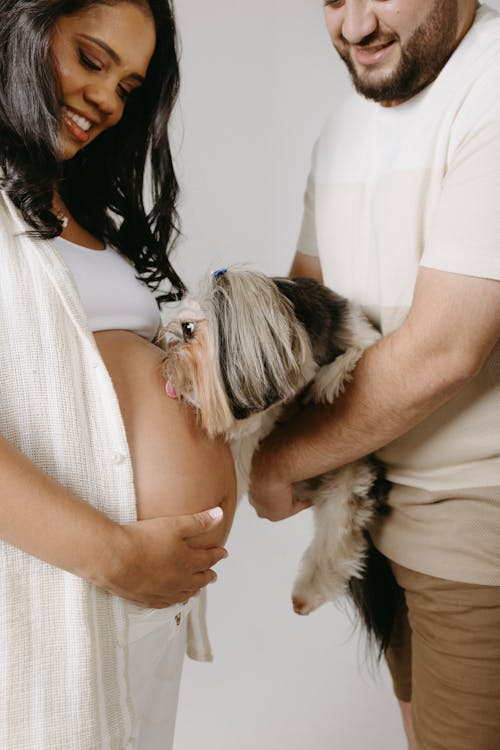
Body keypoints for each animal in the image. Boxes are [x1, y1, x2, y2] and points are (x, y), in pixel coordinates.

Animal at [164, 270, 394, 652]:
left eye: (188, 328)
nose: (167, 358)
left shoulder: (354, 325)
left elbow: (363, 347)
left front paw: (331, 377)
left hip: (347, 483)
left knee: (339, 539)